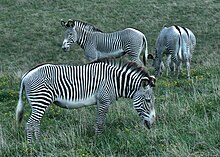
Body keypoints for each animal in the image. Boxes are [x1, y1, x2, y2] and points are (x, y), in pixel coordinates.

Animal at [15, 58, 156, 142]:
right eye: (148, 101)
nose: (153, 123)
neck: (115, 81)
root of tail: (27, 75)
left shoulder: (100, 102)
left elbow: (98, 121)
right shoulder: (103, 101)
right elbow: (100, 122)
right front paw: (99, 141)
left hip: (38, 103)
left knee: (35, 123)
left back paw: (39, 142)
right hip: (41, 100)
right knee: (30, 123)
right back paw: (32, 145)